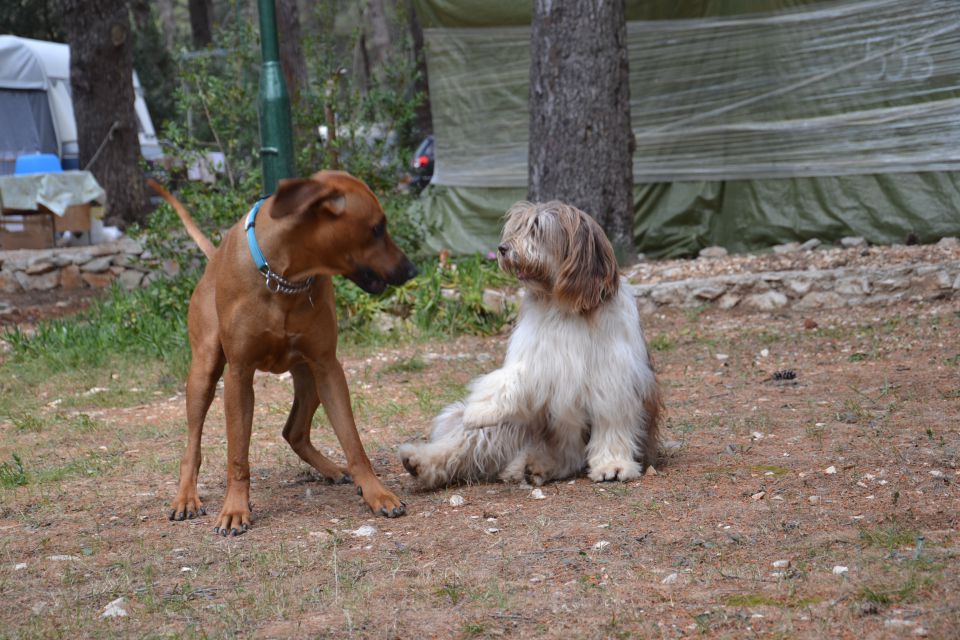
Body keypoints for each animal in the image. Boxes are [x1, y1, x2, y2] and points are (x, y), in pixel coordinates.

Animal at [150, 171, 416, 536]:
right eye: (377, 228)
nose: (412, 270)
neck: (284, 277)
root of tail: (213, 259)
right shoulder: (239, 375)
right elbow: (237, 455)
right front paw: (235, 509)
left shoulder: (328, 367)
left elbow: (353, 441)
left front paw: (377, 493)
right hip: (203, 372)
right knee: (193, 444)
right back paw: (186, 498)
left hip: (310, 378)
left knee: (294, 431)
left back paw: (332, 470)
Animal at [398, 202, 660, 488]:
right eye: (518, 227)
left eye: (537, 229)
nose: (502, 248)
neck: (565, 308)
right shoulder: (540, 358)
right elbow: (513, 378)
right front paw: (480, 409)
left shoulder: (612, 380)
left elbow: (612, 425)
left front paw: (613, 465)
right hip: (511, 427)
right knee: (466, 446)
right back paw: (421, 462)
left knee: (568, 456)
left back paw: (535, 466)